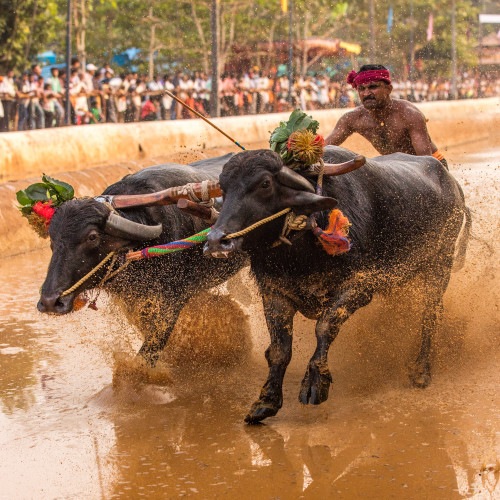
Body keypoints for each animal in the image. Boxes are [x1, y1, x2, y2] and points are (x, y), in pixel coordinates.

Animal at [37, 154, 246, 366]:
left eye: (92, 237)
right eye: (52, 239)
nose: (49, 301)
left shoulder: (172, 301)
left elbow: (150, 349)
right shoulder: (133, 302)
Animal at [205, 146, 470, 424]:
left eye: (265, 184)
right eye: (223, 188)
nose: (216, 242)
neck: (299, 254)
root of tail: (452, 183)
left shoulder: (359, 286)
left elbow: (325, 326)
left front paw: (315, 383)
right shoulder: (275, 293)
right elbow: (279, 349)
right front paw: (266, 401)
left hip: (440, 264)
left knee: (430, 315)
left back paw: (421, 370)